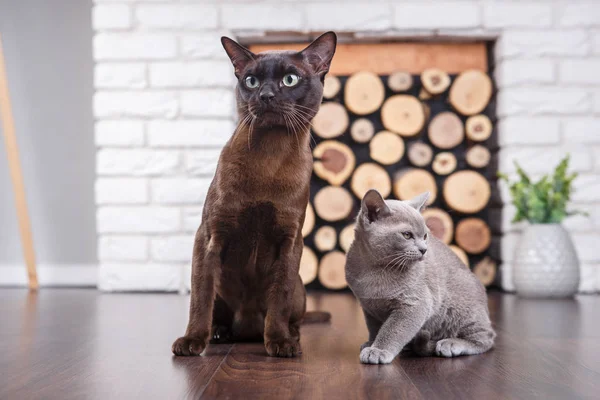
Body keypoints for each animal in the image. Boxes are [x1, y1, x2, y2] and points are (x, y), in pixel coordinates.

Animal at [171, 32, 336, 360]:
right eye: (251, 81)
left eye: (289, 79)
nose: (266, 95)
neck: (269, 158)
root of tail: (246, 331)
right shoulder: (208, 237)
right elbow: (200, 301)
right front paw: (192, 342)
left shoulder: (289, 241)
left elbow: (278, 301)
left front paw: (280, 344)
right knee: (217, 315)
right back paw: (219, 334)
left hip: (299, 286)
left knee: (292, 317)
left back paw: (290, 338)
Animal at [344, 189, 494, 364]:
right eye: (407, 235)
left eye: (425, 236)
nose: (424, 249)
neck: (373, 270)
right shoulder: (369, 307)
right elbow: (374, 328)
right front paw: (371, 343)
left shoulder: (415, 304)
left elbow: (392, 330)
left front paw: (378, 350)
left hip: (461, 309)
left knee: (486, 337)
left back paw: (451, 343)